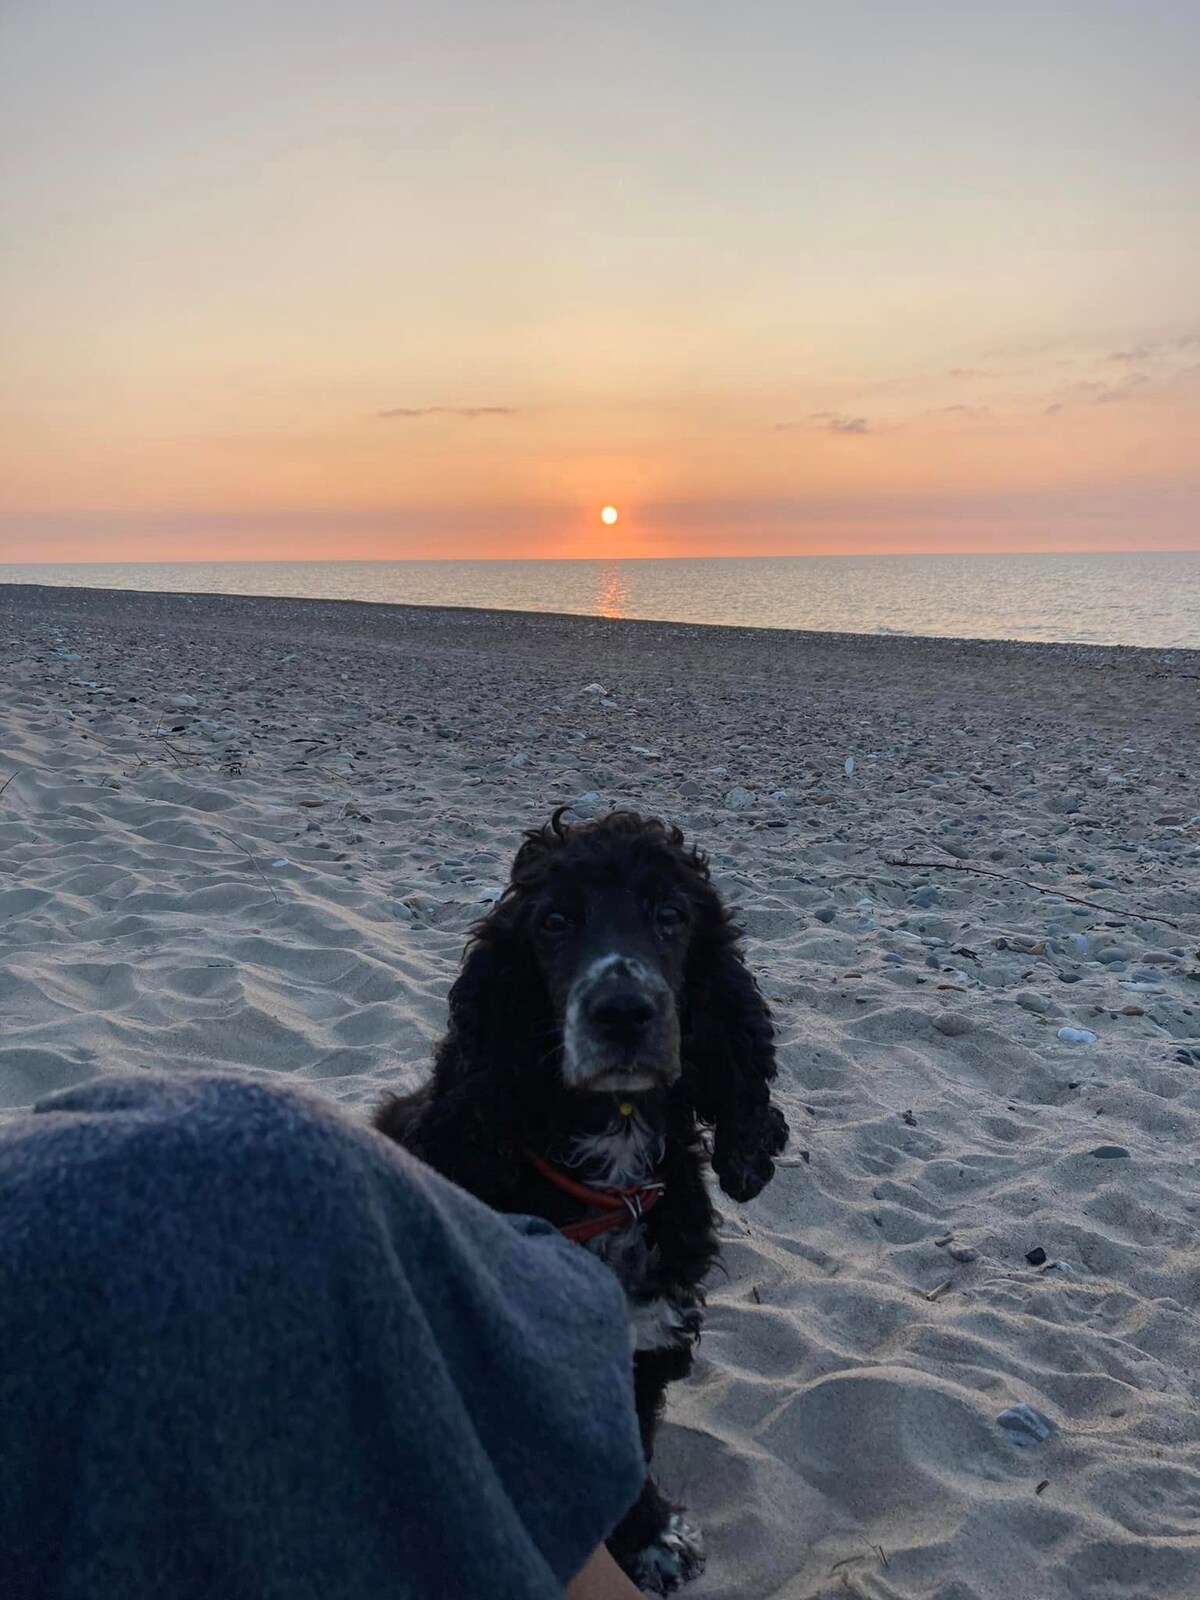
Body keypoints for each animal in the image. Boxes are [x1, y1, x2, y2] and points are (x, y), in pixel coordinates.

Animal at [376, 819, 790, 1593]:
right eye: (554, 922)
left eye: (671, 914)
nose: (623, 1013)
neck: (608, 1168)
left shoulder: (644, 1337)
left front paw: (650, 1537)